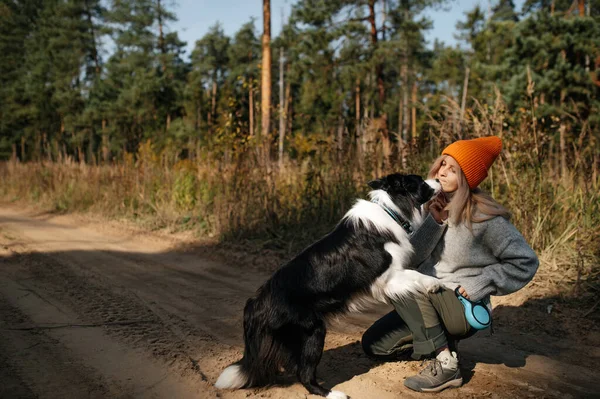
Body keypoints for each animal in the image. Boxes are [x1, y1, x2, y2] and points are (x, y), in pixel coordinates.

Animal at [218, 173, 442, 398]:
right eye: (421, 182)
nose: (439, 179)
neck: (392, 209)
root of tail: (257, 303)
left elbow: (416, 274)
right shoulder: (387, 277)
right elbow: (415, 274)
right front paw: (436, 284)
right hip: (312, 331)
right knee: (304, 374)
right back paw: (331, 393)